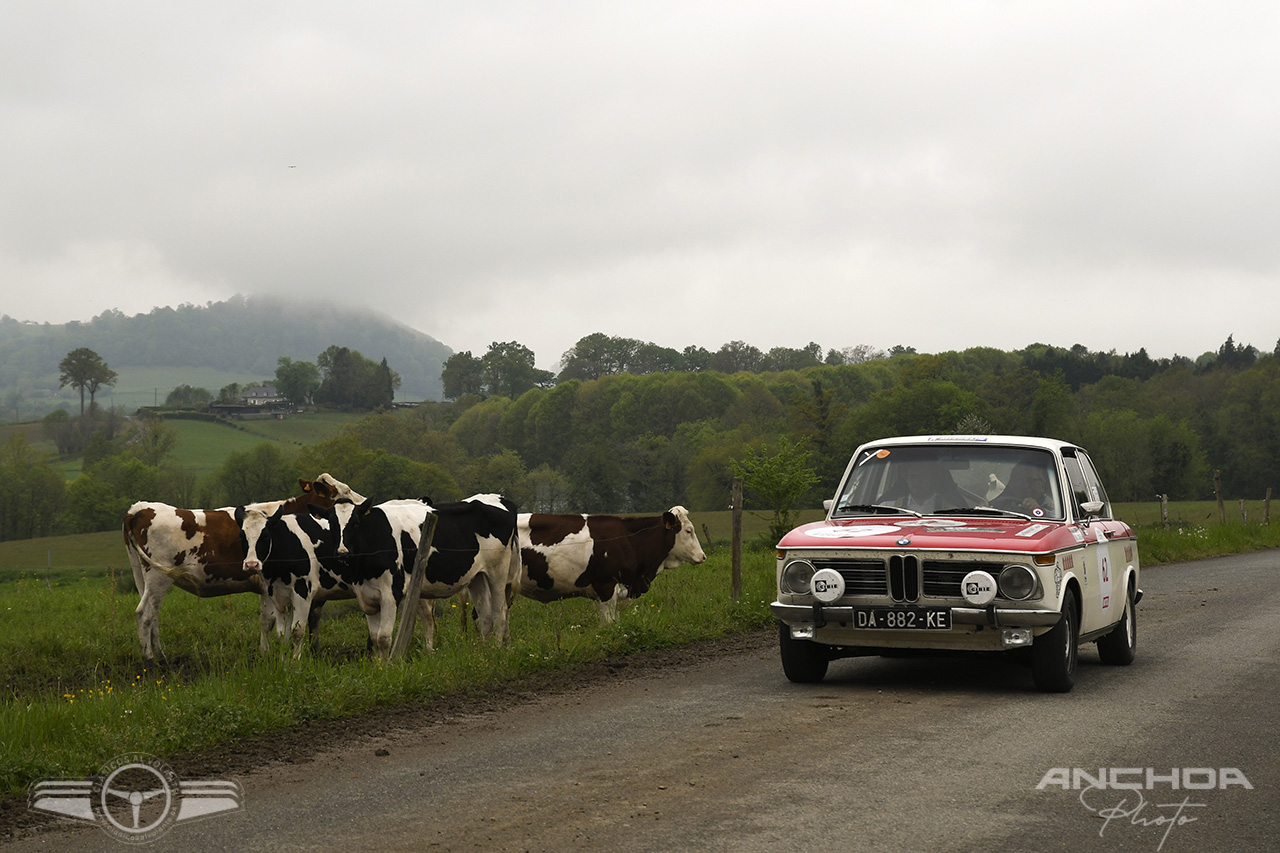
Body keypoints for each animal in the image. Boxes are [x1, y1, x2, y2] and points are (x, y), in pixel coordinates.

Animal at [122, 471, 366, 655]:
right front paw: (268, 654)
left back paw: (160, 655)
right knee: (144, 614)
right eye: (344, 491)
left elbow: (268, 622)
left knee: (153, 614)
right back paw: (150, 661)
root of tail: (139, 508)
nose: (366, 504)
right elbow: (270, 622)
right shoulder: (269, 585)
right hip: (158, 576)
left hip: (143, 576)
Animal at [240, 491, 519, 655]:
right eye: (332, 524)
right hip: (477, 577)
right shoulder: (364, 595)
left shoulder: (387, 594)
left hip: (498, 573)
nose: (342, 551)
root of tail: (499, 499)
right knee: (484, 616)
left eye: (355, 523)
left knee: (500, 612)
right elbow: (374, 638)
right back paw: (482, 650)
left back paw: (496, 649)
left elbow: (384, 638)